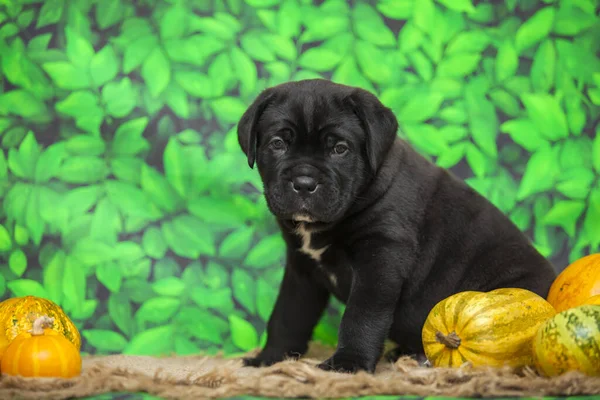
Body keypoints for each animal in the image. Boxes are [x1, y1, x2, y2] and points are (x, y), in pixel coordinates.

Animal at [234, 79, 556, 374]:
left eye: (340, 149)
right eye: (277, 144)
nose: (303, 182)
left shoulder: (381, 256)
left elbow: (361, 315)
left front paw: (348, 364)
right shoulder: (302, 268)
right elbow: (288, 314)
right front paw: (269, 359)